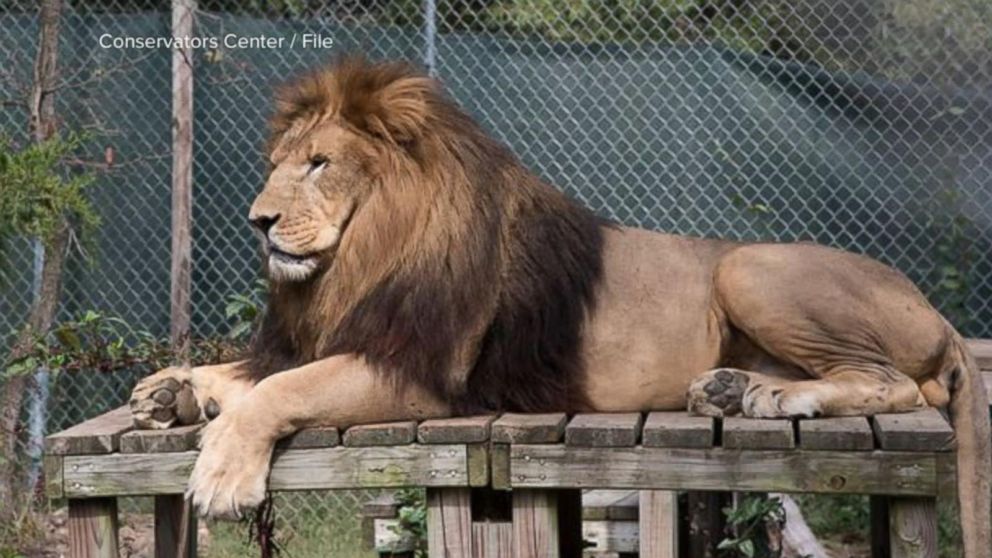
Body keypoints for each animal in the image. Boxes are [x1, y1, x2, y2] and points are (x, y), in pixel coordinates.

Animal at [132, 58, 992, 558]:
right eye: (279, 164)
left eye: (319, 164)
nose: (258, 221)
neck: (361, 258)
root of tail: (940, 315)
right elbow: (248, 373)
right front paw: (170, 392)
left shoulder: (422, 374)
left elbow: (279, 389)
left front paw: (222, 477)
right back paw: (730, 388)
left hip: (749, 265)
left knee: (895, 383)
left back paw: (778, 397)